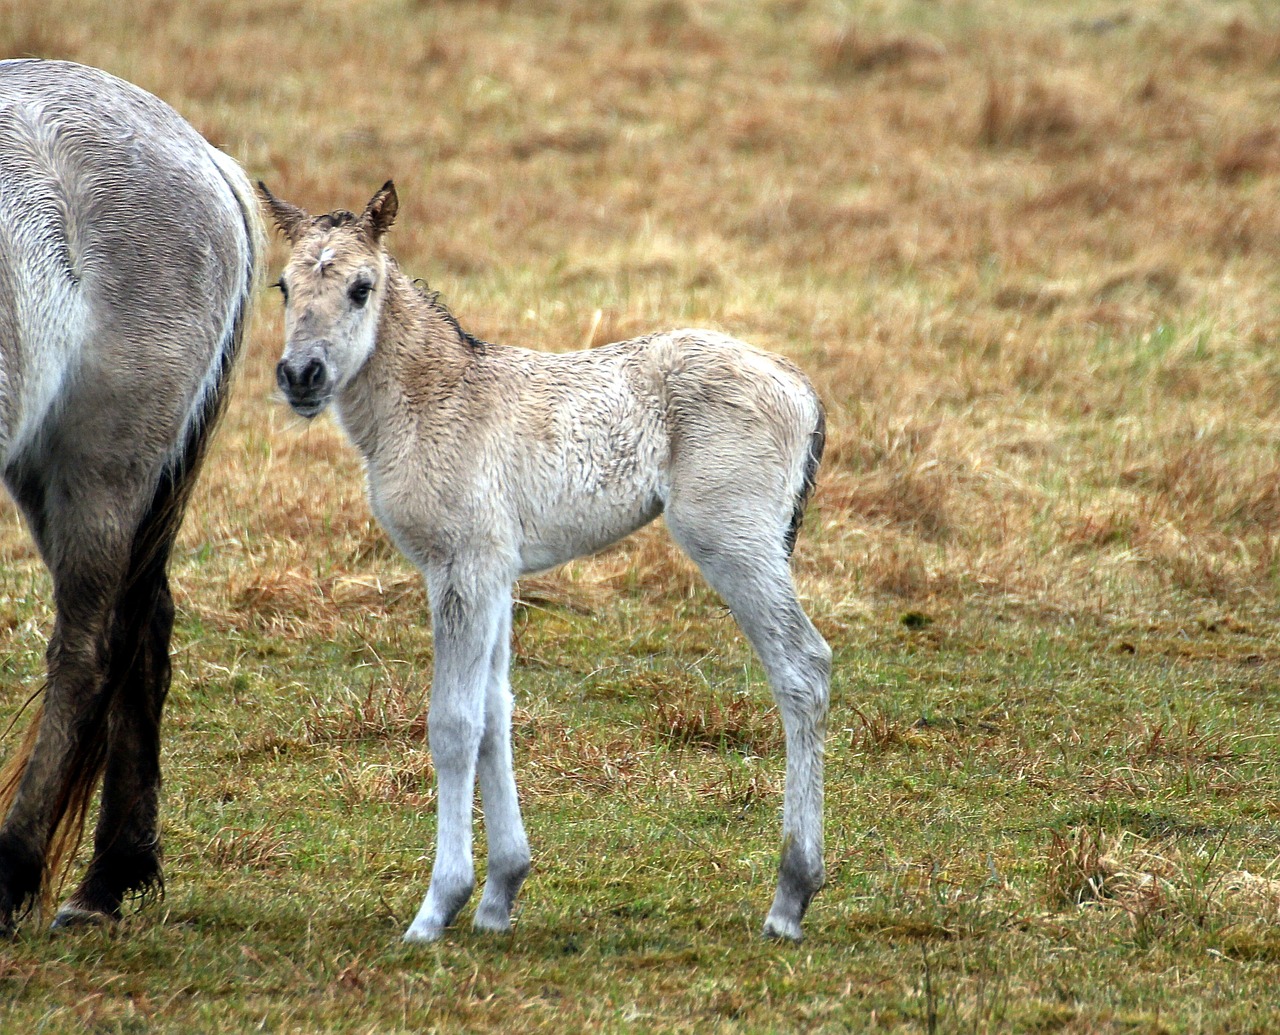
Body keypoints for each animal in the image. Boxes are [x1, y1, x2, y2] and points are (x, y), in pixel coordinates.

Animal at [0, 60, 262, 931]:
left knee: (88, 650)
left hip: (101, 465)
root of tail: (201, 156)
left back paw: (16, 871)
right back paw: (112, 872)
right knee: (142, 626)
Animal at [259, 181, 834, 941]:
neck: (436, 399)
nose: (302, 375)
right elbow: (495, 713)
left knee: (803, 667)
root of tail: (799, 385)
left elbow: (453, 724)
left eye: (361, 287)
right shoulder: (495, 573)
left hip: (733, 539)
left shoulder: (464, 566)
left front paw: (436, 907)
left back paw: (790, 896)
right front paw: (499, 893)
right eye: (283, 286)